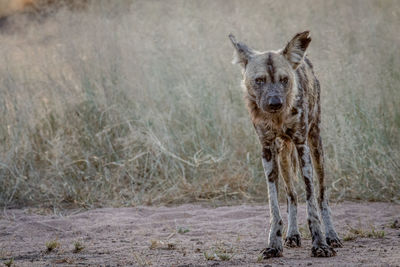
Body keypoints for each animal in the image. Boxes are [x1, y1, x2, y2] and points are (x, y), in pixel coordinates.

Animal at [230, 31, 342, 260]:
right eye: (259, 80)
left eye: (284, 80)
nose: (275, 103)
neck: (278, 119)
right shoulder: (267, 150)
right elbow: (275, 207)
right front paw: (274, 244)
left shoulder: (302, 146)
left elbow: (312, 204)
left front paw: (320, 244)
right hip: (282, 156)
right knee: (292, 195)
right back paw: (292, 234)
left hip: (316, 147)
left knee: (322, 196)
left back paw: (331, 235)